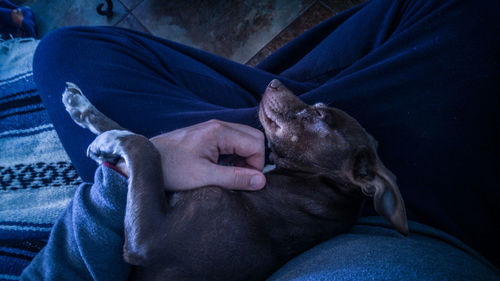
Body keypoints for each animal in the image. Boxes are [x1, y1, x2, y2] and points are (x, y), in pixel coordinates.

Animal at [63, 79, 406, 280]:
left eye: (319, 117)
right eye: (319, 107)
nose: (274, 81)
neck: (304, 181)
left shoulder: (147, 240)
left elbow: (144, 145)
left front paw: (110, 141)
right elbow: (143, 138)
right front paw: (84, 110)